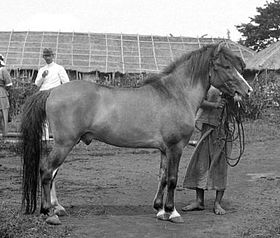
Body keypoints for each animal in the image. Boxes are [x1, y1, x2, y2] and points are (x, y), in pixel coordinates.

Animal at [20, 43, 253, 225]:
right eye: (226, 66)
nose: (248, 91)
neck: (175, 94)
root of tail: (51, 91)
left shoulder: (164, 149)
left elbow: (162, 176)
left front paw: (160, 209)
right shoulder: (175, 147)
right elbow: (173, 178)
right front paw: (172, 212)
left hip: (65, 143)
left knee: (52, 173)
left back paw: (56, 208)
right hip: (64, 143)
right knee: (47, 171)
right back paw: (49, 213)